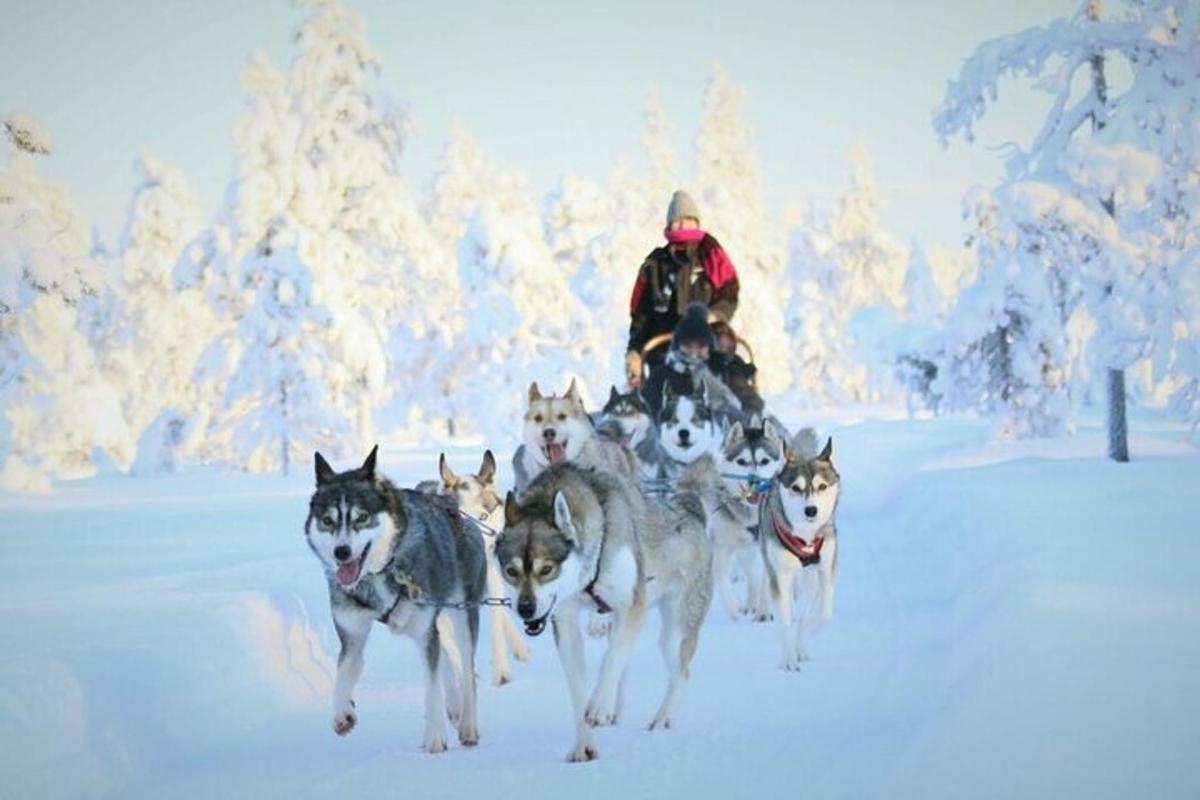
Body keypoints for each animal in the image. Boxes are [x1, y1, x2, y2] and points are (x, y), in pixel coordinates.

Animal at [307, 448, 489, 753]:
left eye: (362, 517)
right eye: (328, 521)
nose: (341, 552)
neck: (381, 571)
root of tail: (450, 503)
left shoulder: (425, 630)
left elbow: (432, 685)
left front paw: (434, 735)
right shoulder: (352, 633)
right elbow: (343, 671)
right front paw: (342, 711)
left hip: (463, 614)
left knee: (466, 669)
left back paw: (468, 725)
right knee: (446, 657)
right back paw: (454, 705)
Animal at [496, 462, 710, 762]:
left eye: (546, 569)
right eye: (511, 571)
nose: (526, 608)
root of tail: (690, 512)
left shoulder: (632, 606)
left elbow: (611, 659)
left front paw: (599, 706)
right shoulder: (566, 623)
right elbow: (578, 690)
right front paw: (584, 745)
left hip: (676, 630)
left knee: (681, 671)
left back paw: (661, 717)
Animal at [705, 417, 792, 623]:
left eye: (764, 461)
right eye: (742, 462)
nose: (755, 480)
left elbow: (766, 581)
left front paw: (764, 612)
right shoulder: (722, 545)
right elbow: (720, 577)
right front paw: (734, 610)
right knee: (751, 573)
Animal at [763, 434, 840, 671]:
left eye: (822, 486)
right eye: (796, 488)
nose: (811, 510)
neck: (805, 537)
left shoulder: (825, 569)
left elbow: (823, 614)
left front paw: (812, 632)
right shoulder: (779, 576)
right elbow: (786, 620)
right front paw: (788, 659)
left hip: (809, 576)